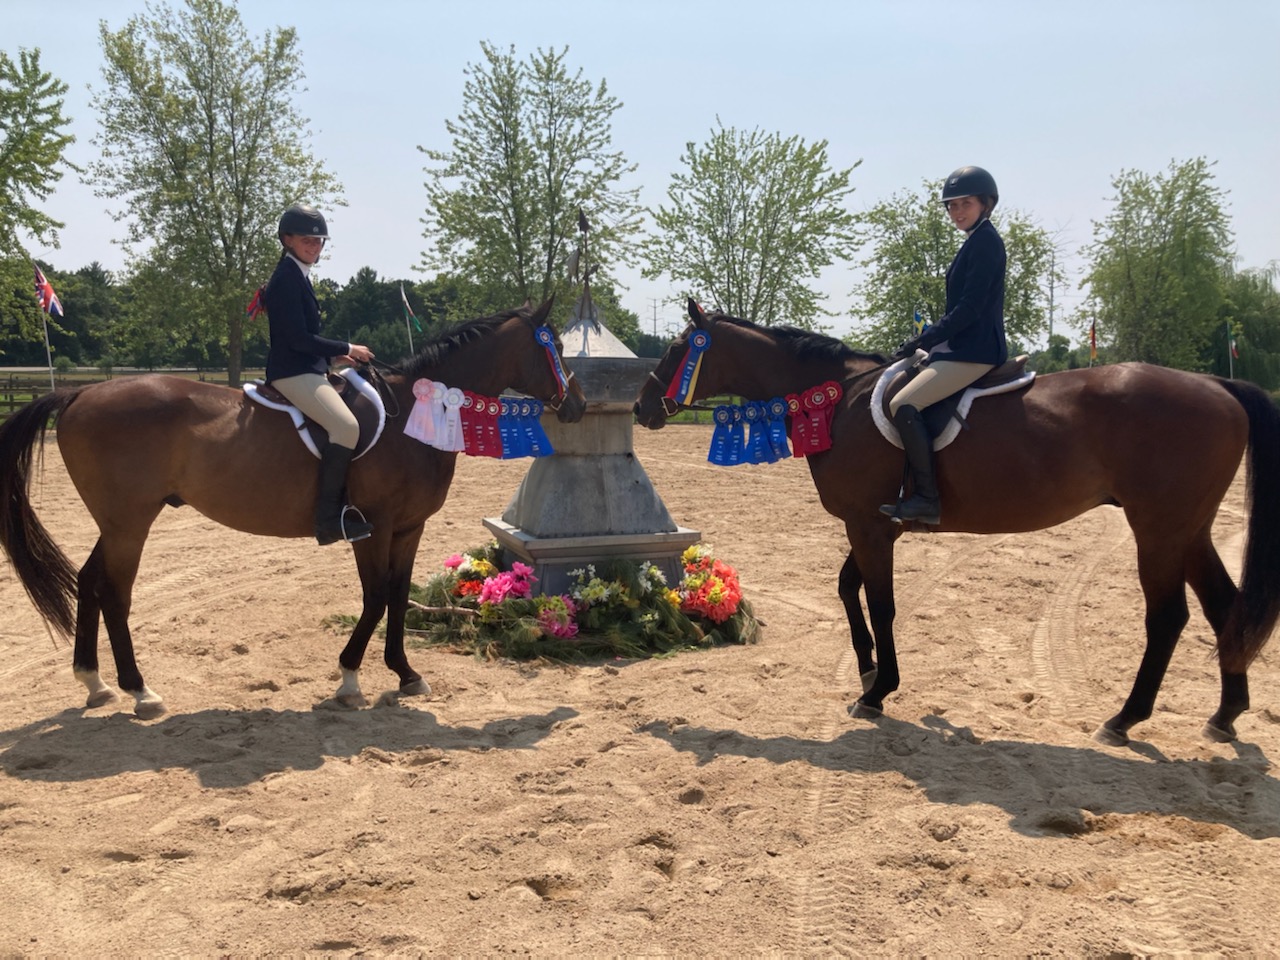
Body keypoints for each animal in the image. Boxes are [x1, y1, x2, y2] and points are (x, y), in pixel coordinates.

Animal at [0, 299, 586, 716]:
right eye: (553, 345)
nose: (577, 406)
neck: (415, 415)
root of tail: (78, 395)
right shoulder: (375, 527)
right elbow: (375, 597)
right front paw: (349, 679)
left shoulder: (409, 528)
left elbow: (398, 597)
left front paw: (406, 674)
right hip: (130, 522)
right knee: (115, 593)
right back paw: (140, 692)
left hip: (117, 522)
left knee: (88, 580)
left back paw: (94, 683)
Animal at [637, 300, 1280, 742]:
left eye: (676, 349)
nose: (643, 406)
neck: (840, 398)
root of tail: (1216, 383)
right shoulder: (875, 524)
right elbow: (848, 589)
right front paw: (867, 670)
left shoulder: (869, 527)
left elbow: (881, 601)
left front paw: (879, 691)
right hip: (1188, 530)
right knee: (1224, 607)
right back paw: (1224, 715)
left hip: (1159, 529)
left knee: (1169, 618)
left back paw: (1124, 719)